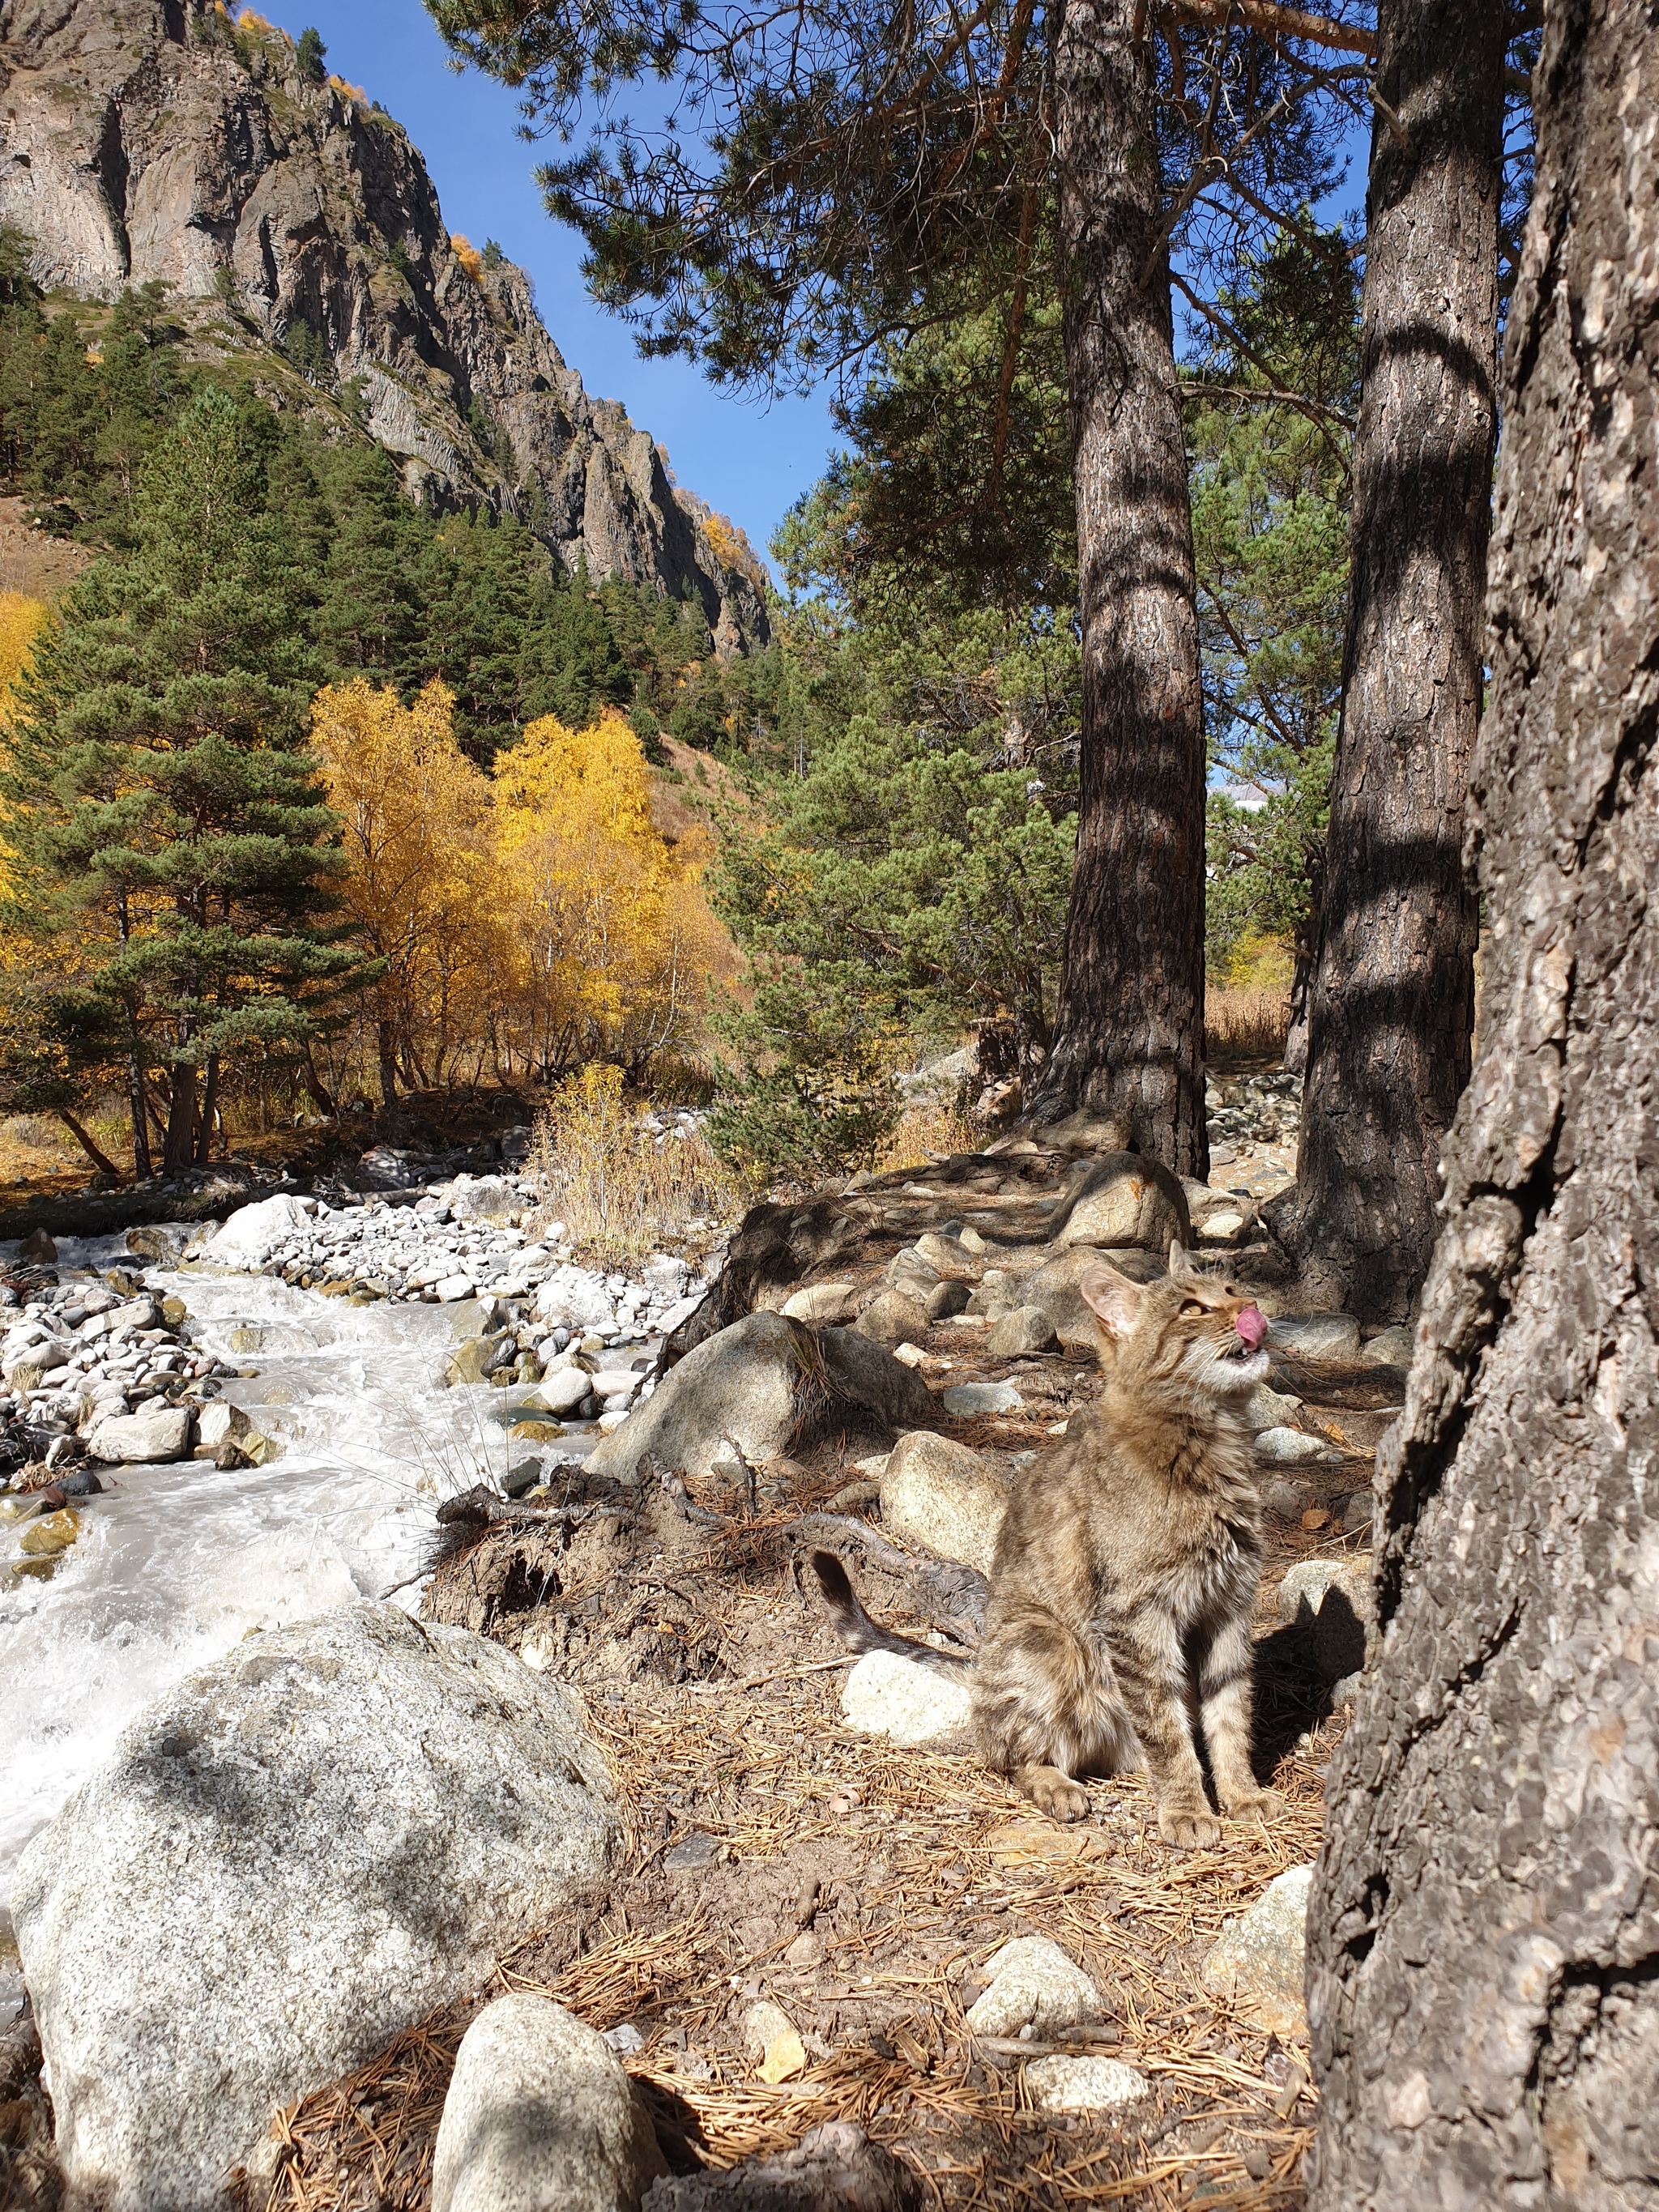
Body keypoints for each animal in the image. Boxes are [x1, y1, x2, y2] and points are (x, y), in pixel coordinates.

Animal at [818, 1247, 1282, 1849]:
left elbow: (1230, 1714)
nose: (1251, 1307)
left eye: (1229, 1288)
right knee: (1005, 1753)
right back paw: (1056, 1785)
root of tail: (981, 1666)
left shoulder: (1229, 1607)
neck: (1212, 1447)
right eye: (1192, 1308)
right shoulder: (1138, 1617)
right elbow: (1167, 1728)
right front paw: (1186, 1808)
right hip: (1049, 1639)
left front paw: (1241, 1793)